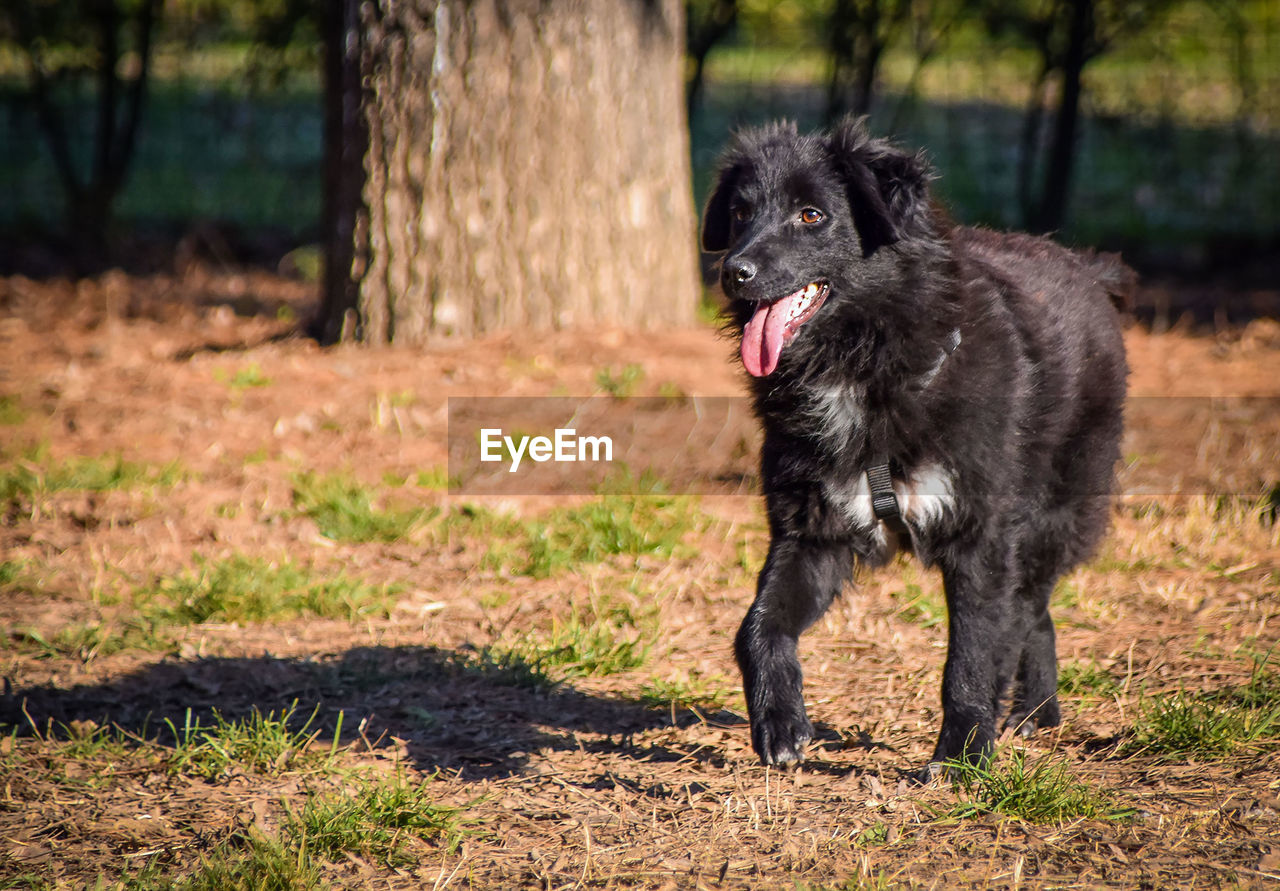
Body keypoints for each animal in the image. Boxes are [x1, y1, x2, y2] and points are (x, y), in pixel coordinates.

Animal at [701, 121, 1131, 778]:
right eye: (741, 212)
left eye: (811, 214)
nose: (734, 271)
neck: (870, 364)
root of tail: (1086, 269)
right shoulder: (813, 530)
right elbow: (756, 626)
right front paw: (780, 724)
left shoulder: (982, 535)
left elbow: (972, 654)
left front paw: (963, 756)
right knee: (1033, 615)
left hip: (1055, 515)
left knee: (1029, 609)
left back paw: (1033, 713)